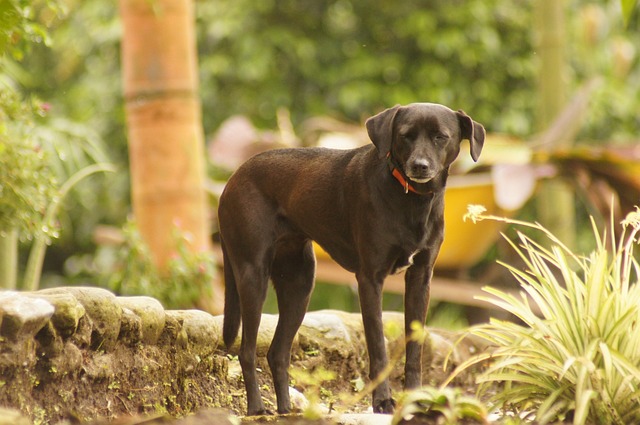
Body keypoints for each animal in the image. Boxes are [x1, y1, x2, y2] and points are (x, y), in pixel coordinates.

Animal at [220, 102, 484, 414]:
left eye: (440, 137)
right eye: (406, 135)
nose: (420, 166)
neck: (412, 199)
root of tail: (235, 176)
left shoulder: (421, 278)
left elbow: (415, 348)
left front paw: (415, 399)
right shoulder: (370, 279)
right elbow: (378, 348)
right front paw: (382, 401)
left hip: (299, 284)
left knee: (277, 354)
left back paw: (286, 410)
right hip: (253, 276)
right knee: (247, 351)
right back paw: (257, 409)